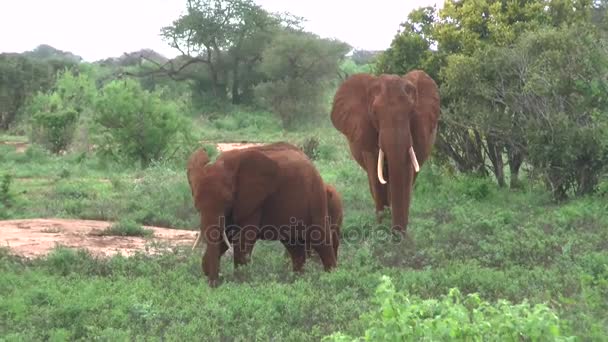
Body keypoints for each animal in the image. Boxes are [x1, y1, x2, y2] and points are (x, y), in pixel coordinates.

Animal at [185, 141, 338, 286]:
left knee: (320, 240)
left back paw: (331, 278)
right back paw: (298, 281)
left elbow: (242, 240)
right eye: (197, 206)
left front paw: (240, 283)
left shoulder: (253, 202)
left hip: (315, 197)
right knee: (294, 248)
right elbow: (224, 238)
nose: (214, 284)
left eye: (227, 201)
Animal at [330, 69, 440, 235]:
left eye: (411, 112)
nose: (397, 233)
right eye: (374, 113)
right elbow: (376, 174)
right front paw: (381, 229)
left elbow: (406, 175)